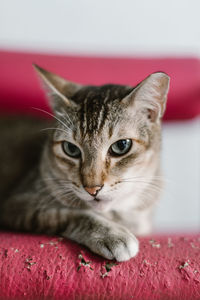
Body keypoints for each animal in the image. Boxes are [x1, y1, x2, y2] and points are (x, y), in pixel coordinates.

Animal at [0, 64, 170, 262]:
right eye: (71, 149)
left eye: (121, 146)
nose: (92, 189)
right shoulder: (19, 205)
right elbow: (72, 213)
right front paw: (112, 234)